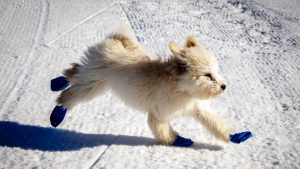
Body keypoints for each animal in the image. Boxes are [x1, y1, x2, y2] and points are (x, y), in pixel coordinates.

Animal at [55, 25, 231, 146]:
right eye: (208, 75)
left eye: (215, 71)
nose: (224, 86)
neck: (180, 87)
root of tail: (114, 40)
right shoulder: (158, 113)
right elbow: (164, 131)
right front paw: (178, 141)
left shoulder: (196, 107)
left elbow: (213, 121)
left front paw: (232, 135)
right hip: (94, 83)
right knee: (72, 92)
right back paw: (58, 112)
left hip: (93, 76)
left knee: (74, 71)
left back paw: (58, 82)